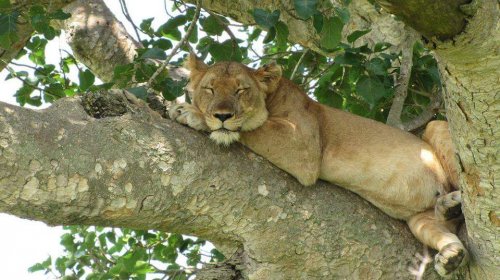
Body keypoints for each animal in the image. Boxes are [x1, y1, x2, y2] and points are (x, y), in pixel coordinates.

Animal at [169, 54, 468, 276]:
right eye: (209, 89)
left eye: (241, 90)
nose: (222, 115)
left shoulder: (303, 144)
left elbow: (253, 127)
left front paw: (189, 113)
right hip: (419, 220)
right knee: (445, 228)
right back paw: (451, 247)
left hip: (436, 126)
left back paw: (454, 204)